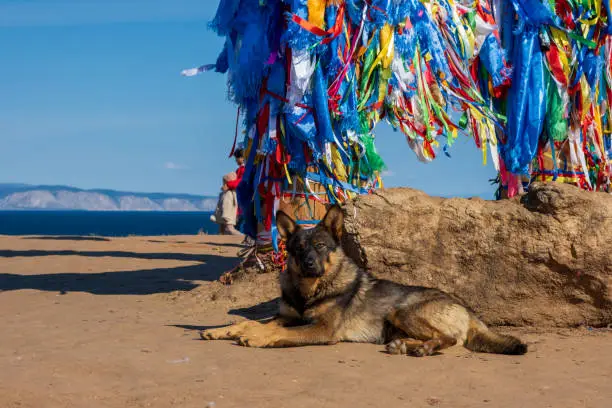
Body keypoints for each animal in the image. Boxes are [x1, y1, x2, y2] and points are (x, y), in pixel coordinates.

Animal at [201, 206, 524, 356]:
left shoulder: (321, 329)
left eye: (321, 246)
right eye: (298, 248)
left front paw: (256, 337)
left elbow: (275, 332)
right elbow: (251, 322)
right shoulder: (290, 316)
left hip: (402, 311)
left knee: (449, 339)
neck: (311, 291)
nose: (308, 264)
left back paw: (422, 348)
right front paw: (224, 330)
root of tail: (467, 310)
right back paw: (404, 346)